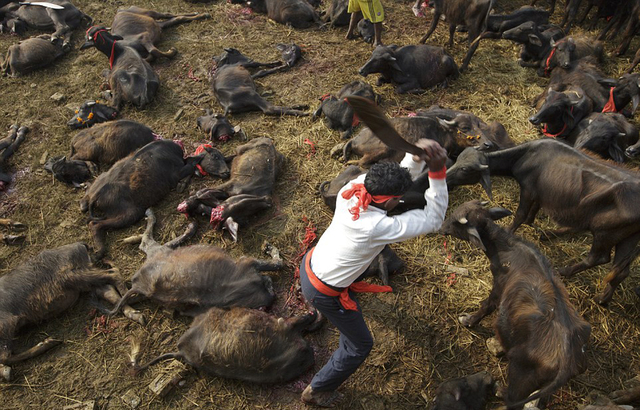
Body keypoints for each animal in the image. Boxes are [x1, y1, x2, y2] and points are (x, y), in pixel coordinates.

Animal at [440, 202, 592, 410]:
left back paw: (500, 390)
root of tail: (567, 363)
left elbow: (487, 305)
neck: (506, 248)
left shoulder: (498, 285)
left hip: (520, 378)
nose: (441, 227)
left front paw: (468, 320)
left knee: (513, 400)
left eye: (456, 221)